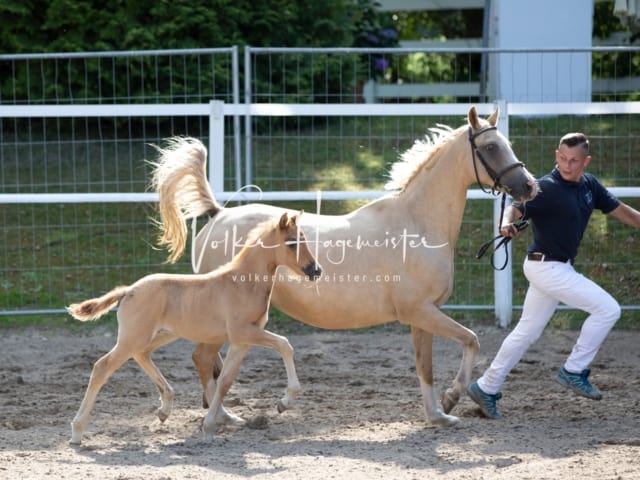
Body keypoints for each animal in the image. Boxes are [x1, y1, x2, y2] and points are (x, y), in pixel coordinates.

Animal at [66, 212, 320, 444]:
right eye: (292, 242)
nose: (315, 270)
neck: (244, 284)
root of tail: (128, 290)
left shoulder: (242, 341)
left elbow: (225, 381)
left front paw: (210, 426)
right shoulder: (245, 333)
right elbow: (284, 345)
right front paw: (285, 402)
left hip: (161, 335)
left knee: (142, 354)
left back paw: (165, 409)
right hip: (134, 337)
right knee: (102, 367)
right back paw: (77, 433)